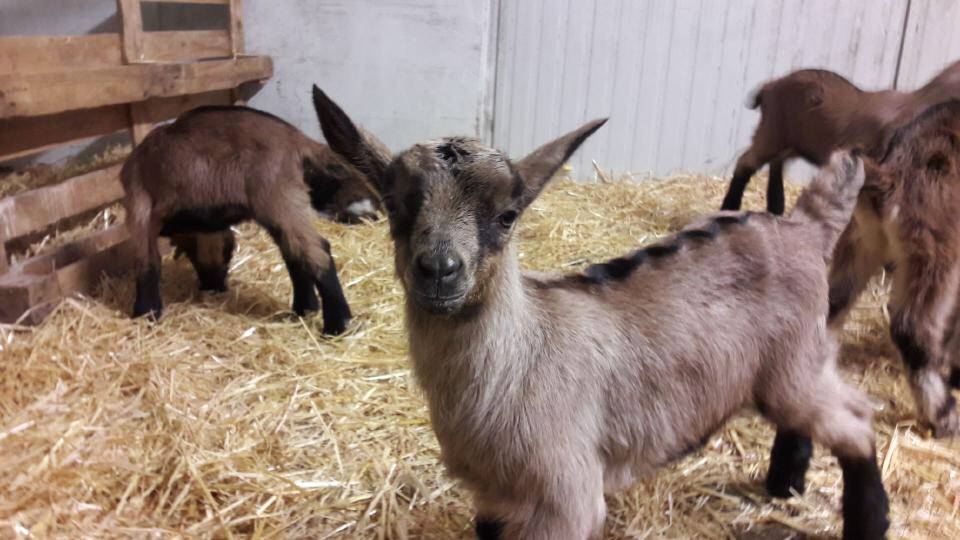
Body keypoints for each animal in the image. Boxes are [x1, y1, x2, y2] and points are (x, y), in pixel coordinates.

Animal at [121, 100, 364, 334]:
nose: (213, 286)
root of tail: (297, 139)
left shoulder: (140, 211)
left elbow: (147, 263)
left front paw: (144, 313)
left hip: (278, 199)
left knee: (317, 252)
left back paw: (337, 325)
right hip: (279, 208)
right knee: (294, 253)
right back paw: (303, 309)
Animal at [316, 88, 892, 540]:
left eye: (506, 217)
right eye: (395, 207)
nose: (439, 269)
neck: (517, 359)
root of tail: (804, 227)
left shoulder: (564, 500)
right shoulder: (494, 498)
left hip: (796, 364)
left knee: (857, 420)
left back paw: (867, 521)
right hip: (793, 365)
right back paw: (785, 484)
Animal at [720, 60, 960, 215]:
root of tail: (769, 86)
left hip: (793, 143)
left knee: (776, 164)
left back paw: (776, 208)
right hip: (772, 133)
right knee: (746, 162)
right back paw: (729, 208)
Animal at [828, 99, 960, 436]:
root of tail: (893, 170)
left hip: (862, 239)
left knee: (832, 302)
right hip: (933, 254)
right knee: (912, 328)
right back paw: (944, 416)